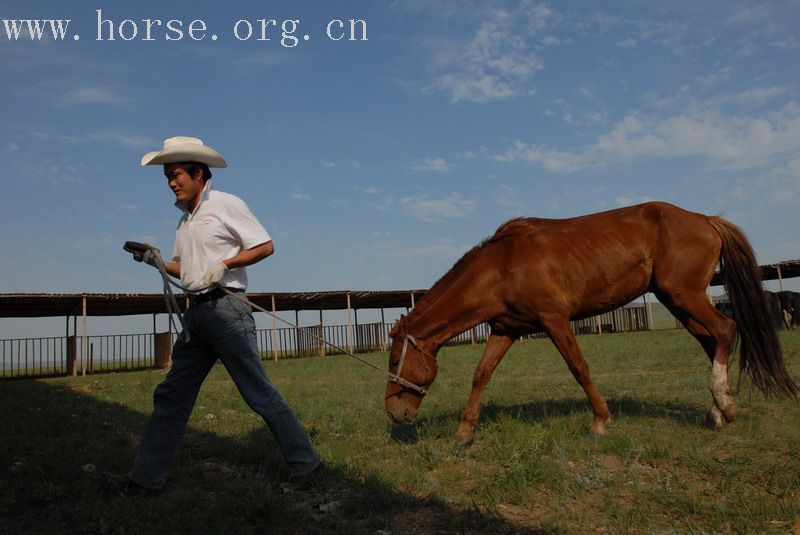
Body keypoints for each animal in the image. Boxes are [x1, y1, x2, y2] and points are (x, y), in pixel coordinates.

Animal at [384, 201, 796, 448]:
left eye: (394, 360)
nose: (393, 412)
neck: (503, 265)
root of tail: (707, 220)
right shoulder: (506, 329)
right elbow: (481, 375)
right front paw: (464, 432)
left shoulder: (554, 320)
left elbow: (579, 368)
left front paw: (600, 421)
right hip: (678, 301)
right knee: (712, 342)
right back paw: (718, 411)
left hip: (685, 295)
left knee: (726, 330)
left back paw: (725, 404)